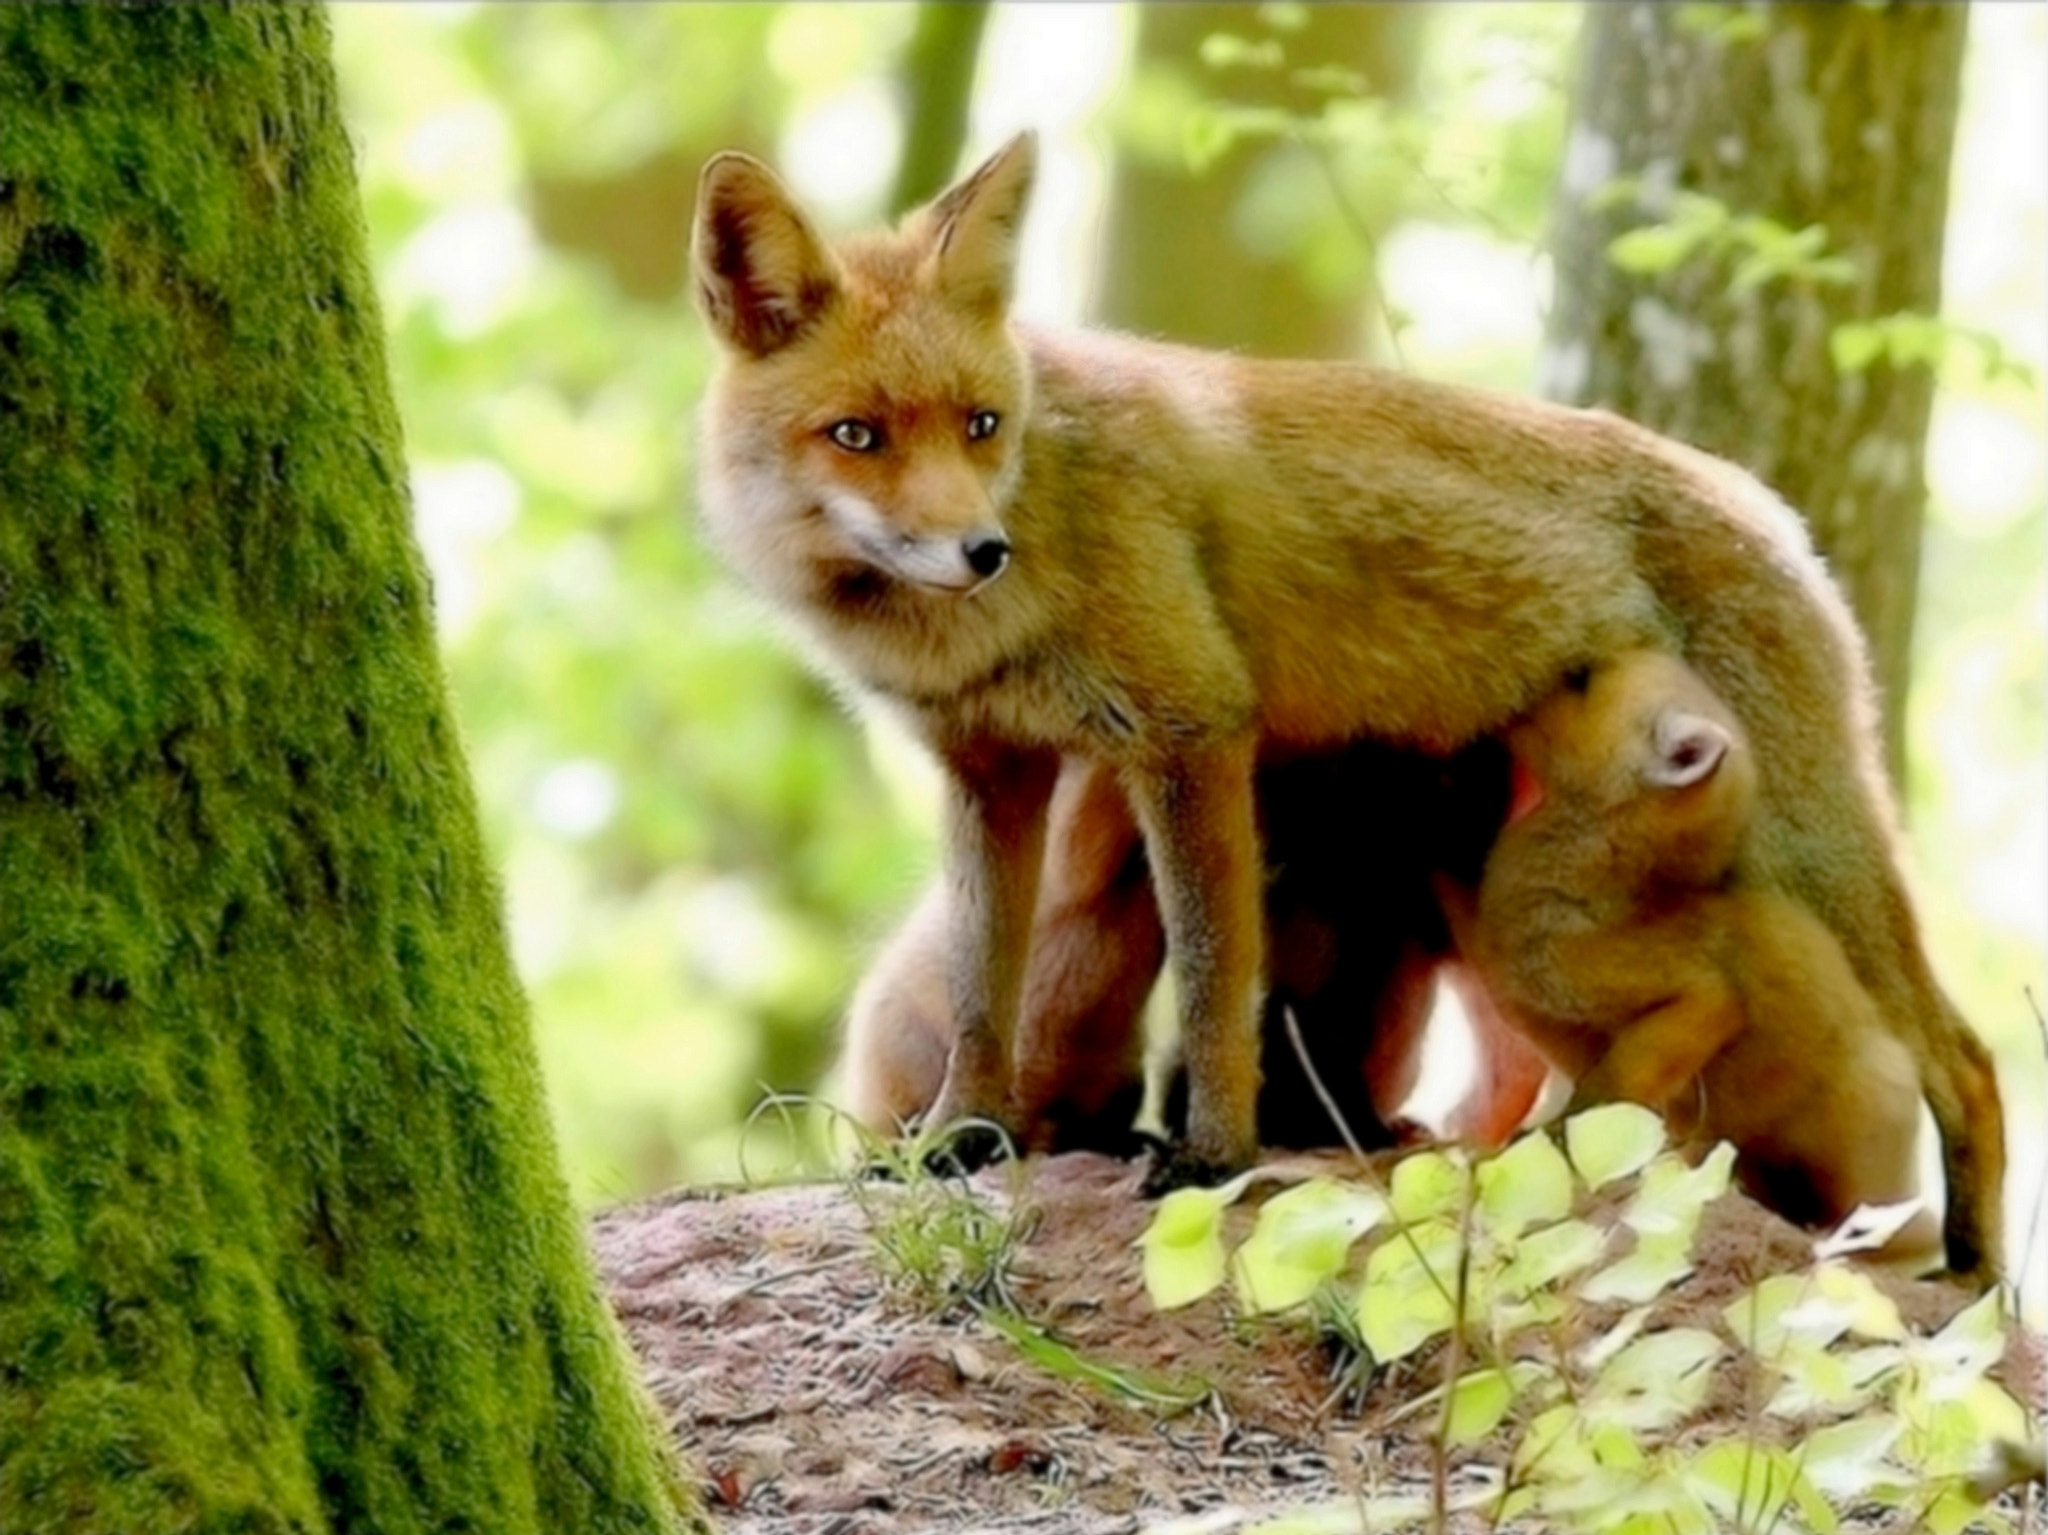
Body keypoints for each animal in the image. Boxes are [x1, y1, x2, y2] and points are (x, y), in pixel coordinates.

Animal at [696, 135, 2007, 1285]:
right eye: (857, 434)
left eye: (979, 424)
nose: (980, 550)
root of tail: (1757, 496)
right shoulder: (988, 765)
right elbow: (983, 992)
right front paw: (962, 1141)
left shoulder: (1191, 731)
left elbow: (1214, 984)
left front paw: (1210, 1156)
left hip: (1807, 850)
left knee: (1969, 1058)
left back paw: (1974, 1274)